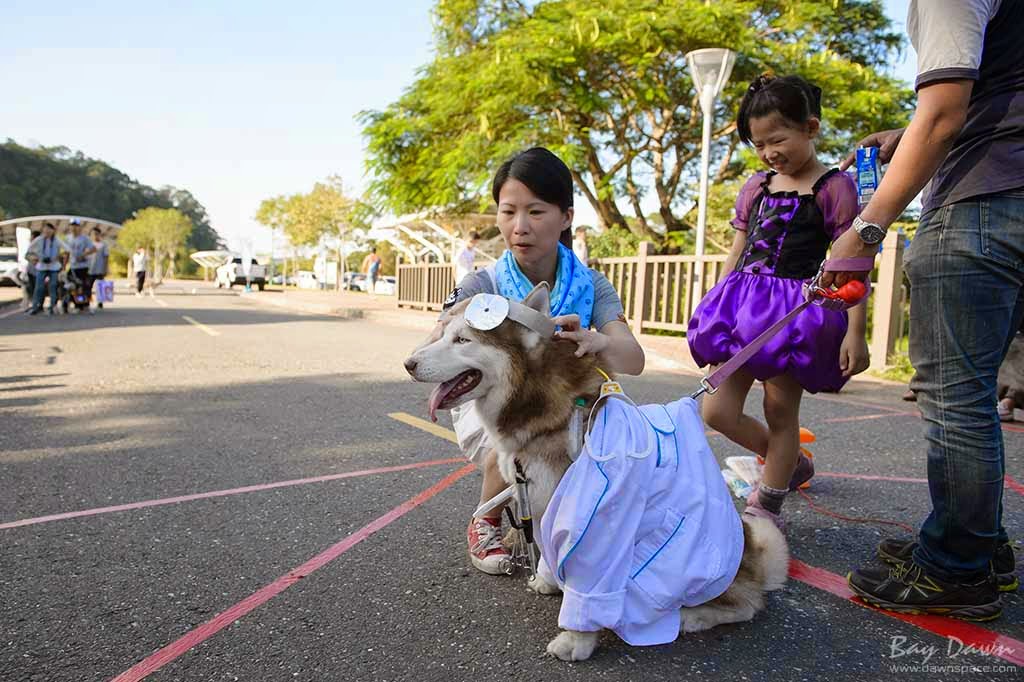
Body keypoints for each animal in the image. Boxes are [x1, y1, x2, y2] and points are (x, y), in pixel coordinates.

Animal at [403, 282, 786, 659]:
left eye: (463, 340)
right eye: (442, 333)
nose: (408, 363)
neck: (550, 411)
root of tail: (754, 563)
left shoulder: (598, 512)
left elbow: (590, 582)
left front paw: (577, 640)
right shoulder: (541, 500)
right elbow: (548, 552)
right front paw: (548, 581)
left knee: (749, 603)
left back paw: (693, 616)